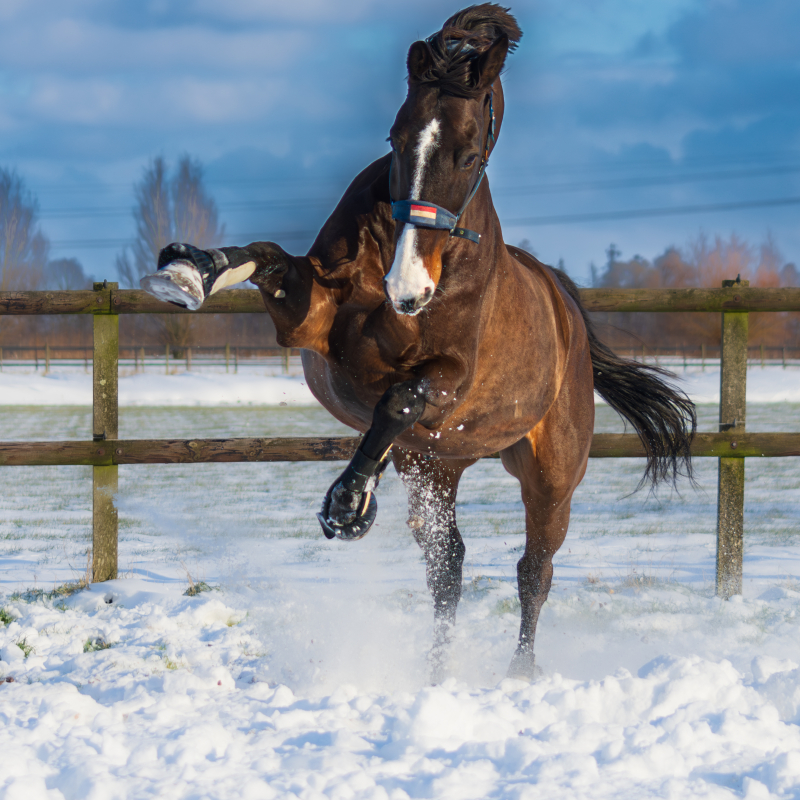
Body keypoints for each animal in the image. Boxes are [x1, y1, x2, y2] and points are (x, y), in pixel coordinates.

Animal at [139, 4, 692, 680]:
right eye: (396, 140)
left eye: (470, 154)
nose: (408, 289)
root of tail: (567, 314)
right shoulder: (309, 319)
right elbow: (267, 257)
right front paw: (188, 270)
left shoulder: (449, 376)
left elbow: (400, 399)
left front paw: (347, 501)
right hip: (436, 466)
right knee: (447, 568)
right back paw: (435, 673)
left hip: (551, 474)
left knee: (534, 570)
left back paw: (519, 671)